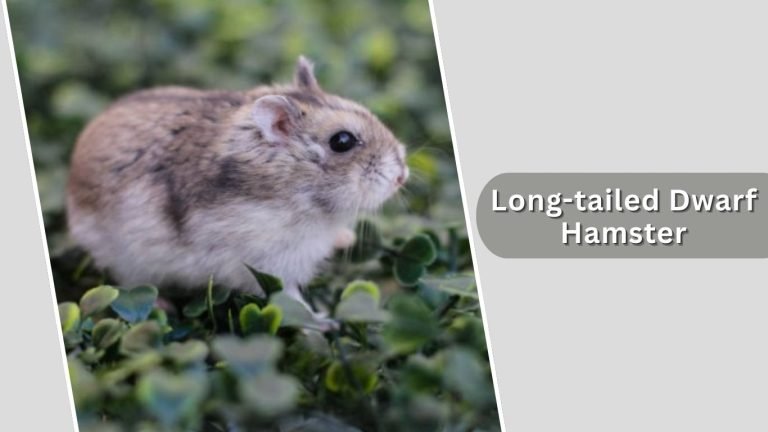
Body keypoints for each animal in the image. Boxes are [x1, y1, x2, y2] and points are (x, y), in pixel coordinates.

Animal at [66, 56, 409, 322]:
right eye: (342, 141)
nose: (402, 176)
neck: (299, 193)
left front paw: (345, 237)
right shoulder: (268, 265)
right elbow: (291, 300)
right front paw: (326, 321)